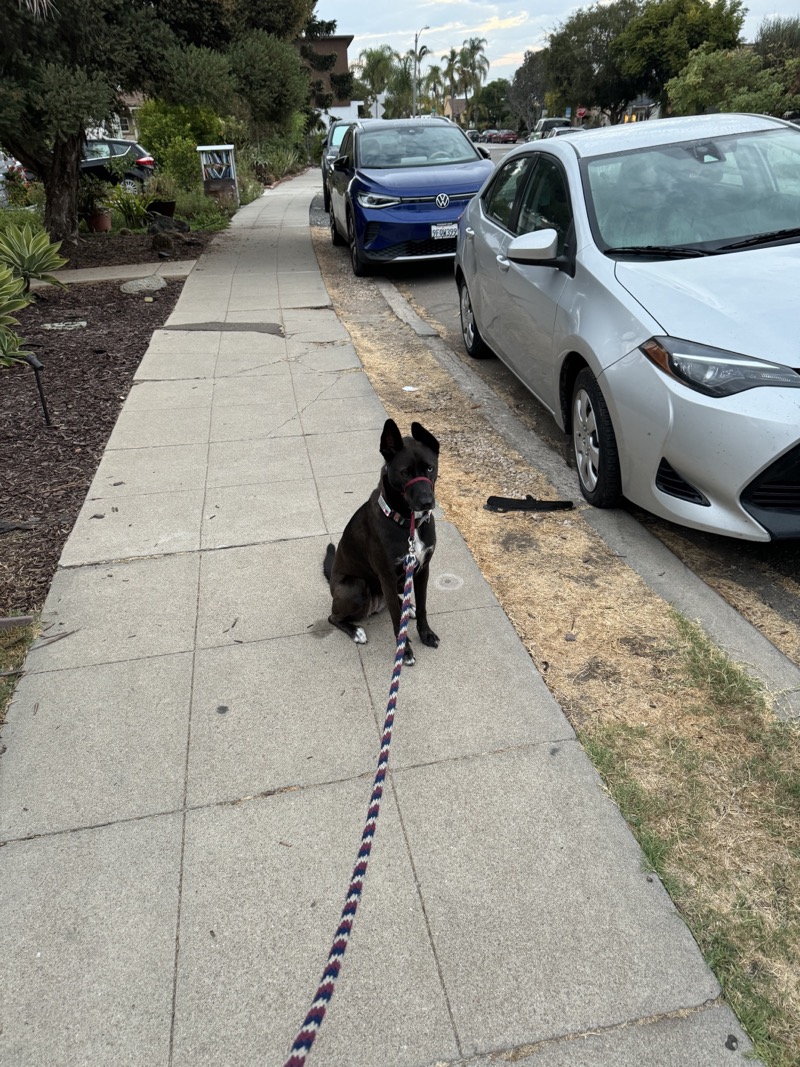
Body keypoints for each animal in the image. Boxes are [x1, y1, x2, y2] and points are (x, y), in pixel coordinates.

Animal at [322, 418, 441, 661]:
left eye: (430, 468)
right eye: (405, 472)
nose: (427, 502)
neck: (408, 524)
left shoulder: (423, 569)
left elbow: (423, 607)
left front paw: (425, 634)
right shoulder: (386, 576)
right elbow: (396, 619)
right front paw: (404, 651)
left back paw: (408, 607)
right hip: (356, 588)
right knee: (333, 617)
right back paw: (355, 631)